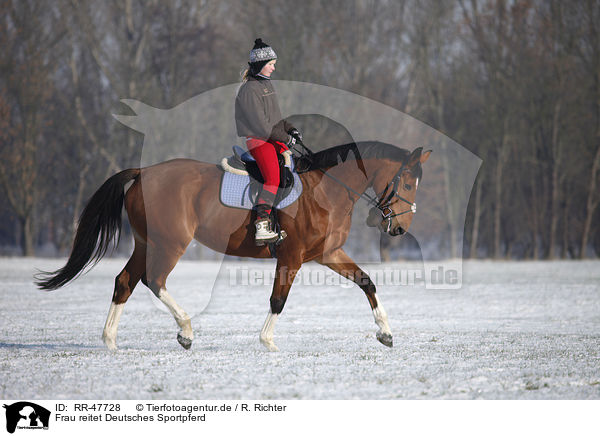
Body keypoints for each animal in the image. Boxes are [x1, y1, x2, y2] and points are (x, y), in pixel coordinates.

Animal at [35, 141, 432, 352]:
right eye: (407, 183)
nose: (400, 228)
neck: (326, 189)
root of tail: (144, 172)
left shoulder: (327, 254)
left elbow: (367, 281)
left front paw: (385, 332)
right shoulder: (291, 257)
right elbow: (278, 299)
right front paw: (267, 341)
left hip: (147, 242)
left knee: (125, 282)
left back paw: (111, 340)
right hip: (170, 243)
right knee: (154, 280)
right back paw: (185, 330)